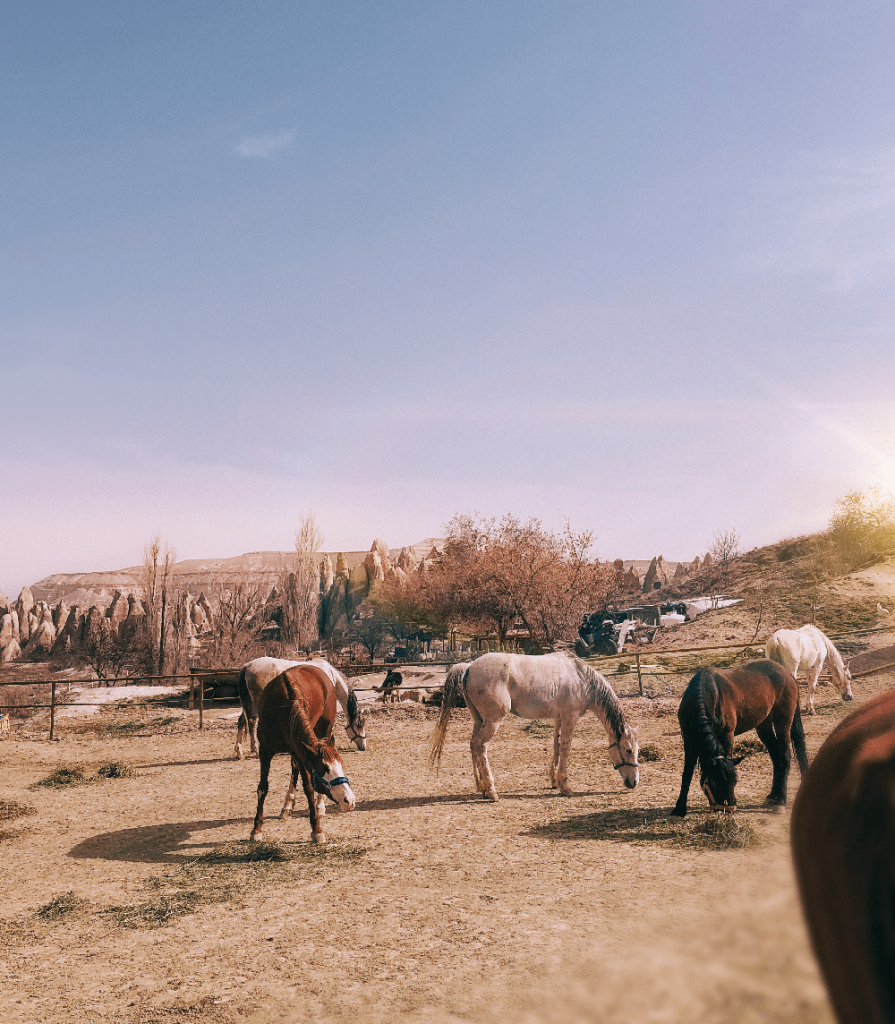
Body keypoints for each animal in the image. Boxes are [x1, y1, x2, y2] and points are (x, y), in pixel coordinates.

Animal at [235, 655, 368, 761]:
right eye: (359, 725)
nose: (363, 746)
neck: (330, 675)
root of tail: (247, 665)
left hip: (248, 703)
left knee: (241, 721)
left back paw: (239, 752)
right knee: (252, 722)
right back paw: (255, 750)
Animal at [250, 659, 356, 843]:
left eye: (341, 767)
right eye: (323, 769)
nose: (348, 800)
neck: (281, 711)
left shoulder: (300, 751)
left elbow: (309, 788)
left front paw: (316, 829)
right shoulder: (266, 750)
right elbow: (263, 787)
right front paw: (256, 829)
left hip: (323, 730)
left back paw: (318, 806)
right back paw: (287, 807)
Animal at [428, 655, 638, 798]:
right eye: (628, 750)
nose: (634, 782)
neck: (581, 678)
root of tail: (469, 666)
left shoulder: (559, 718)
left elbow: (556, 746)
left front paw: (554, 781)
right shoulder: (570, 717)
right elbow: (566, 748)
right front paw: (565, 787)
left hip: (479, 720)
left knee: (472, 745)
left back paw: (481, 787)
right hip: (492, 721)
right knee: (480, 746)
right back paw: (492, 791)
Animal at [671, 663, 811, 815]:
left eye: (734, 781)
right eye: (715, 783)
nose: (730, 808)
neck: (707, 694)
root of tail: (786, 672)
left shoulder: (727, 735)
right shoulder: (689, 739)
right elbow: (687, 772)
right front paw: (679, 808)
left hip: (783, 722)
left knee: (785, 756)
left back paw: (780, 801)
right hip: (764, 724)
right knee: (776, 756)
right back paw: (772, 796)